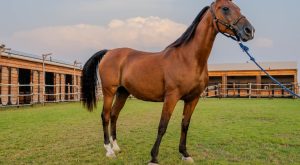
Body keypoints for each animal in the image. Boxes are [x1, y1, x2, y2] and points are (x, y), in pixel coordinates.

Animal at [81, 0, 254, 164]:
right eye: (225, 8)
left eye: (238, 8)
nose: (249, 31)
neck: (188, 59)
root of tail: (108, 52)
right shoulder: (171, 97)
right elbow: (162, 126)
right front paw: (154, 157)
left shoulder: (193, 99)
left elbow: (185, 125)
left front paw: (185, 154)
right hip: (109, 91)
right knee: (105, 116)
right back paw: (109, 150)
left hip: (123, 92)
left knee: (114, 115)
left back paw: (116, 147)